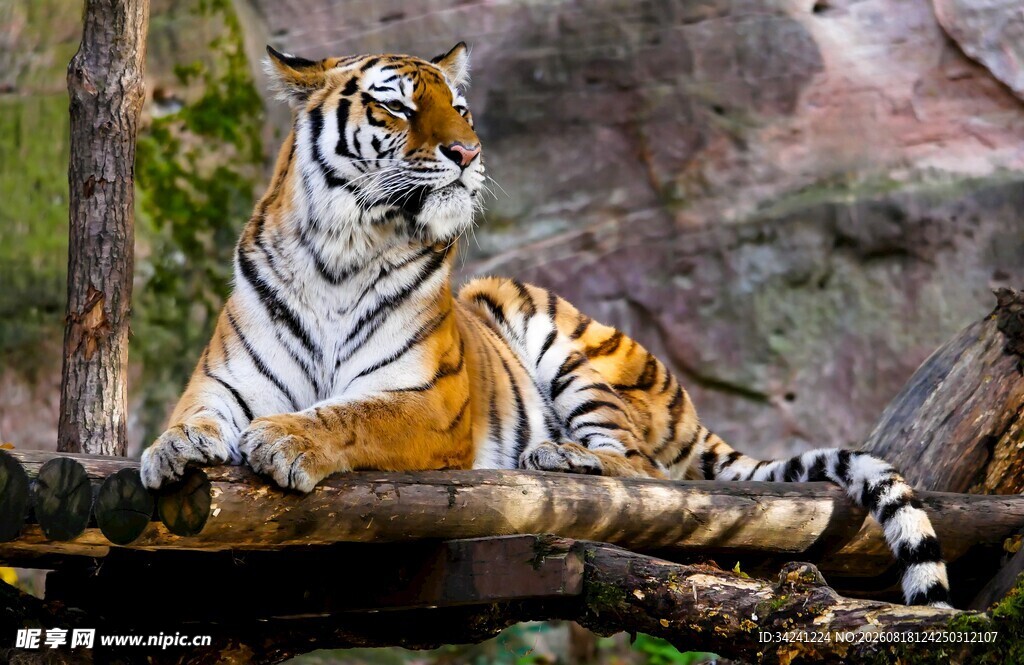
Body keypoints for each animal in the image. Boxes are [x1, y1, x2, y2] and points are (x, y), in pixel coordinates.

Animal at [139, 42, 951, 608]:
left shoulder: (429, 403)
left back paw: (560, 456)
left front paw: (285, 440)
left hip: (560, 338)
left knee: (646, 470)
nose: (467, 152)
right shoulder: (223, 381)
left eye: (460, 109)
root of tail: (689, 407)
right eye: (398, 108)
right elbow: (192, 416)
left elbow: (351, 414)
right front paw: (169, 451)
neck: (340, 252)